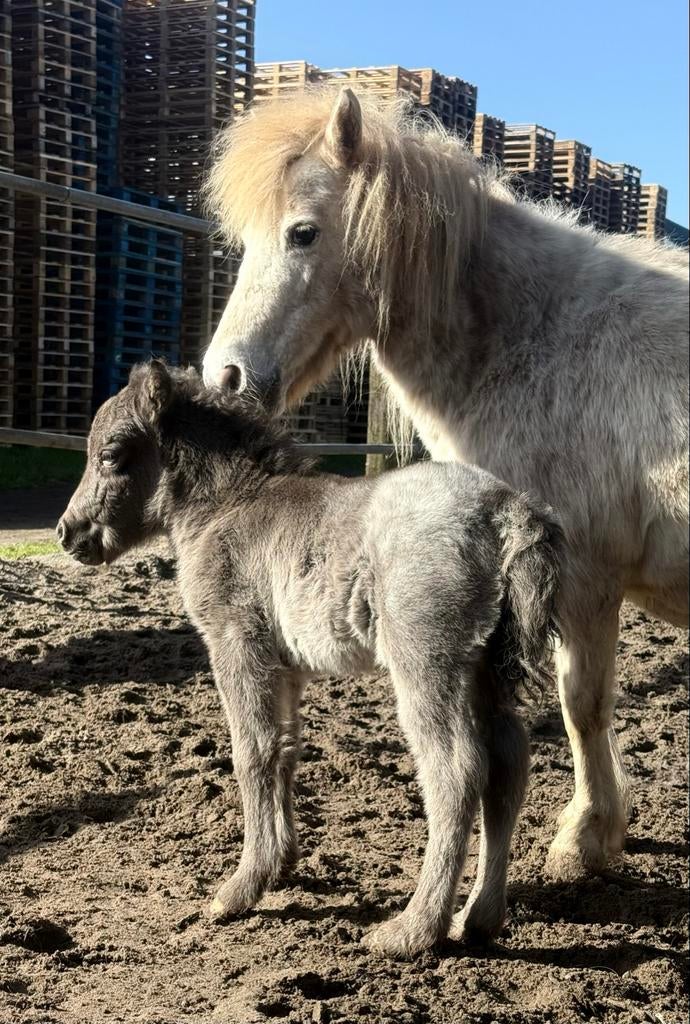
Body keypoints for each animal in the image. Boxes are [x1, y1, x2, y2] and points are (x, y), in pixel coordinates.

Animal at [57, 361, 561, 957]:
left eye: (111, 454)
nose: (67, 533)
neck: (230, 504)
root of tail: (508, 512)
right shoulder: (287, 667)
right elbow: (285, 749)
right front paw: (282, 863)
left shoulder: (235, 641)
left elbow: (250, 751)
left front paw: (240, 889)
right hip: (486, 668)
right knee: (509, 764)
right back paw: (480, 919)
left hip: (428, 660)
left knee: (457, 771)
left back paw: (412, 930)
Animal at [201, 88, 689, 881]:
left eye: (303, 233)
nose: (227, 378)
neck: (537, 335)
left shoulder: (586, 577)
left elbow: (581, 704)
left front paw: (586, 835)